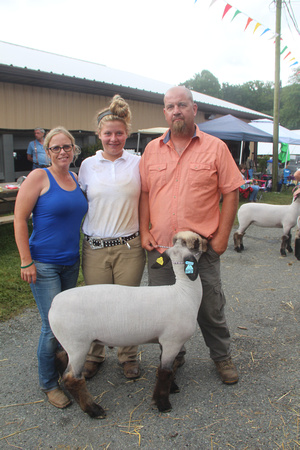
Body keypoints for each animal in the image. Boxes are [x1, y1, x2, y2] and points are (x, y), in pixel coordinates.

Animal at [49, 232, 207, 418]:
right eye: (196, 242)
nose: (207, 241)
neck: (184, 292)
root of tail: (53, 304)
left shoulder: (166, 342)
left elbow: (168, 367)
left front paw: (172, 387)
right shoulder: (172, 341)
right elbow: (165, 371)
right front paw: (162, 403)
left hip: (67, 341)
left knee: (60, 357)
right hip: (78, 345)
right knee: (72, 378)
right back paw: (94, 410)